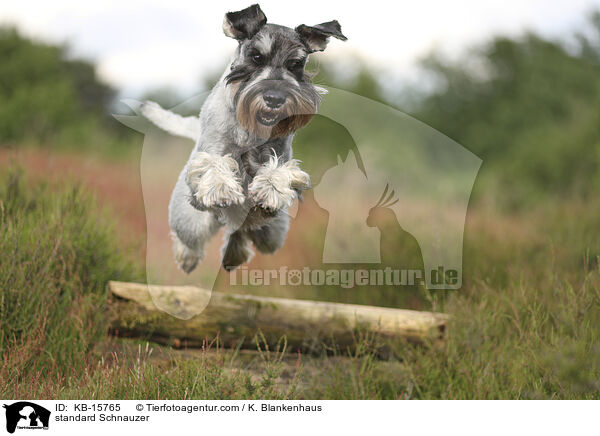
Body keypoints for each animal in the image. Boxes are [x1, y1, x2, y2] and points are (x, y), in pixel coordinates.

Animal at [142, 4, 346, 272]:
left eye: (296, 63)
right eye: (256, 57)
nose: (274, 98)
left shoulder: (281, 156)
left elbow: (279, 171)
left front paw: (271, 189)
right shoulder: (212, 152)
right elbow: (214, 166)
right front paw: (220, 187)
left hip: (273, 233)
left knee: (243, 231)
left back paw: (234, 254)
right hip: (189, 221)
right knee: (190, 238)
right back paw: (187, 257)